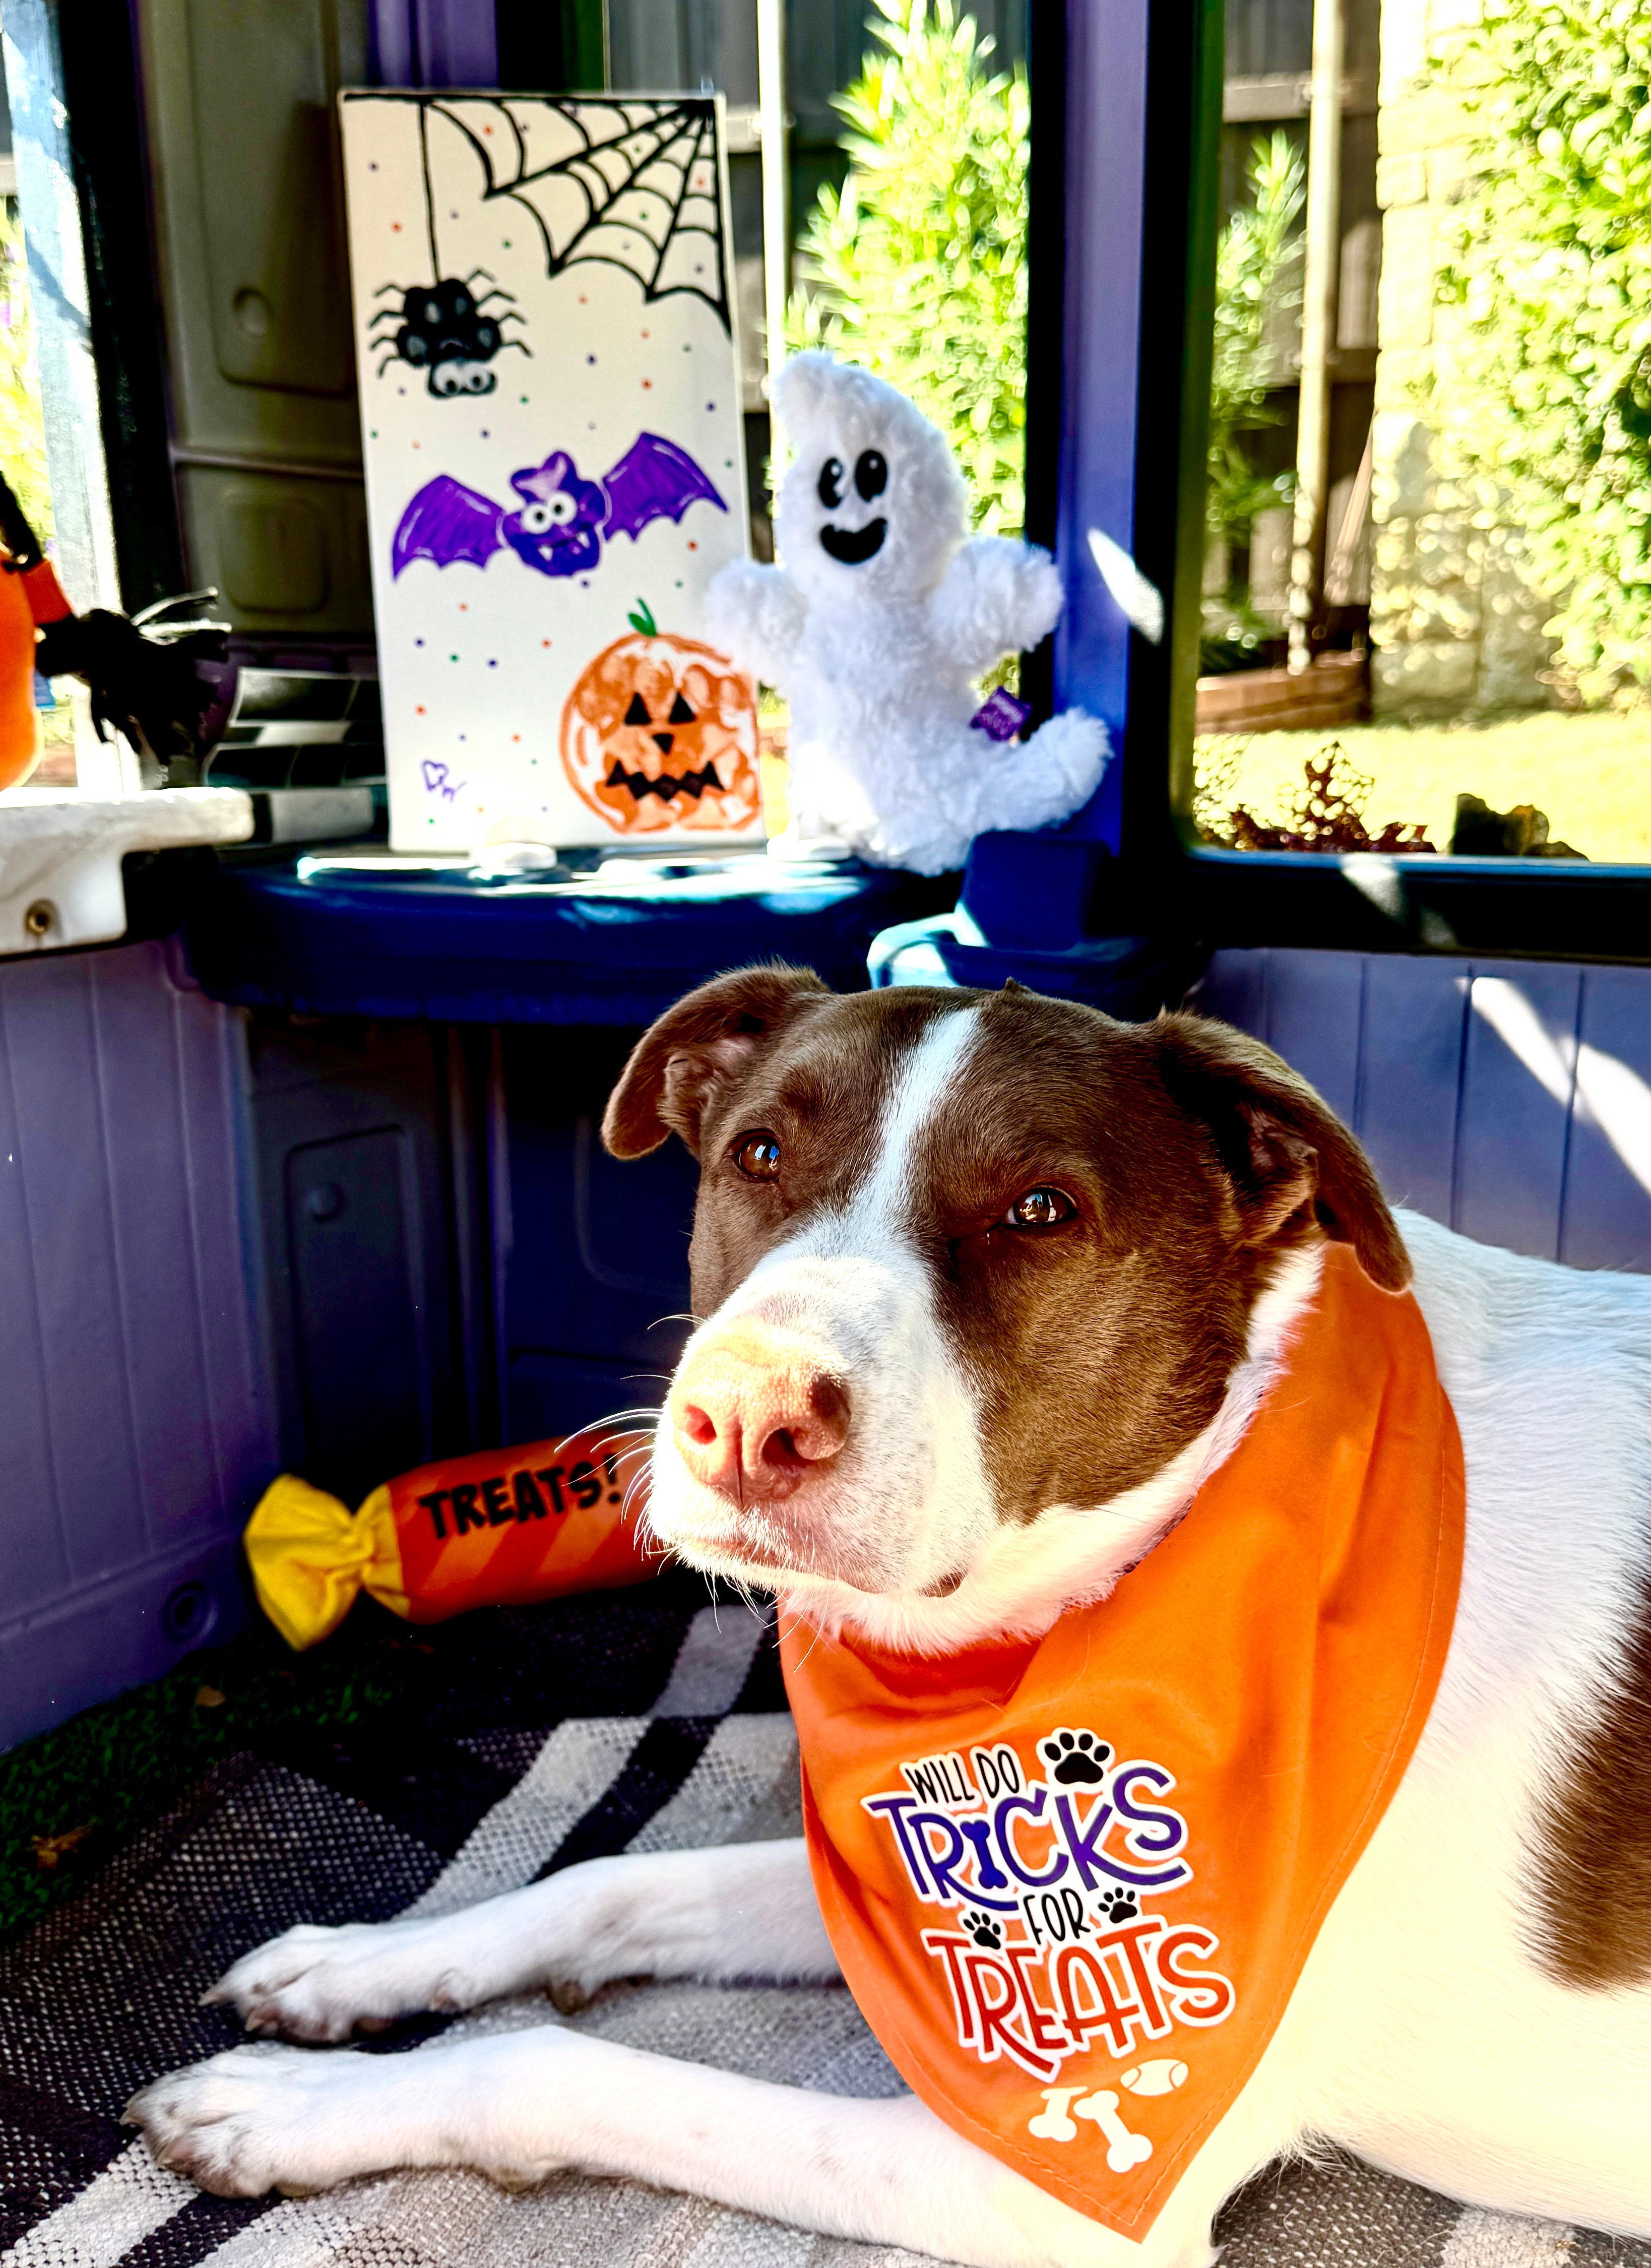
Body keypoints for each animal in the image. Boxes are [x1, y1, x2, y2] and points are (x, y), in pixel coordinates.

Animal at [125, 971, 1651, 2268]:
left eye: (1040, 1210)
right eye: (755, 1153)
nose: (744, 1416)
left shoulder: (1051, 2175)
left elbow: (553, 2061)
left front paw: (290, 2106)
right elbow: (606, 1878)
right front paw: (358, 1963)